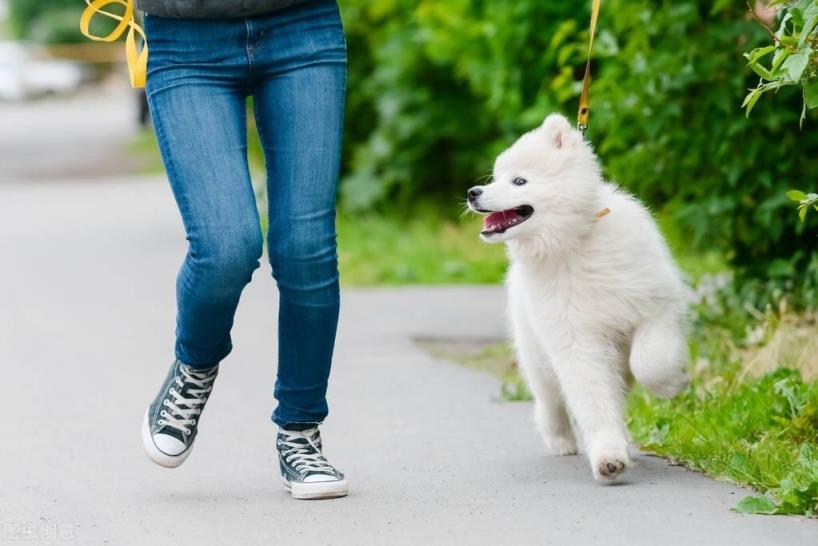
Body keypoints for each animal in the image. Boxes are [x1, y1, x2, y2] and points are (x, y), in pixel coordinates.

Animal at [466, 113, 688, 480]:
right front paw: (608, 457)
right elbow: (592, 400)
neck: (571, 242)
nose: (473, 192)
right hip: (535, 351)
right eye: (495, 178)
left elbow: (650, 361)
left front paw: (672, 385)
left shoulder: (654, 309)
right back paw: (560, 438)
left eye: (519, 181)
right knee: (549, 398)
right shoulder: (575, 341)